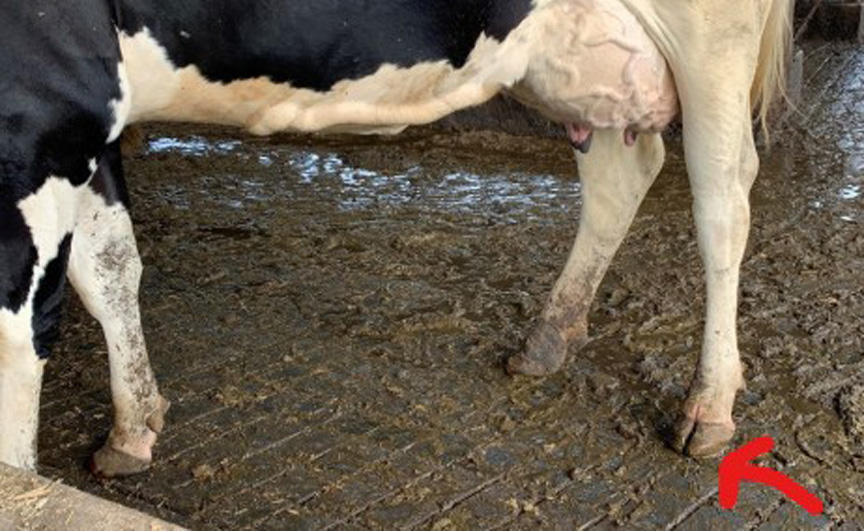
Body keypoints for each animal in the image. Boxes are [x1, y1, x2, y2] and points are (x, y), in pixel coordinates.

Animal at [0, 0, 791, 477]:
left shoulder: (40, 108)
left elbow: (21, 336)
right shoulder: (83, 115)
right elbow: (107, 268)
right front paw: (133, 427)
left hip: (714, 40)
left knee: (722, 202)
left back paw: (708, 406)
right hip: (573, 56)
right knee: (623, 172)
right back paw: (549, 339)